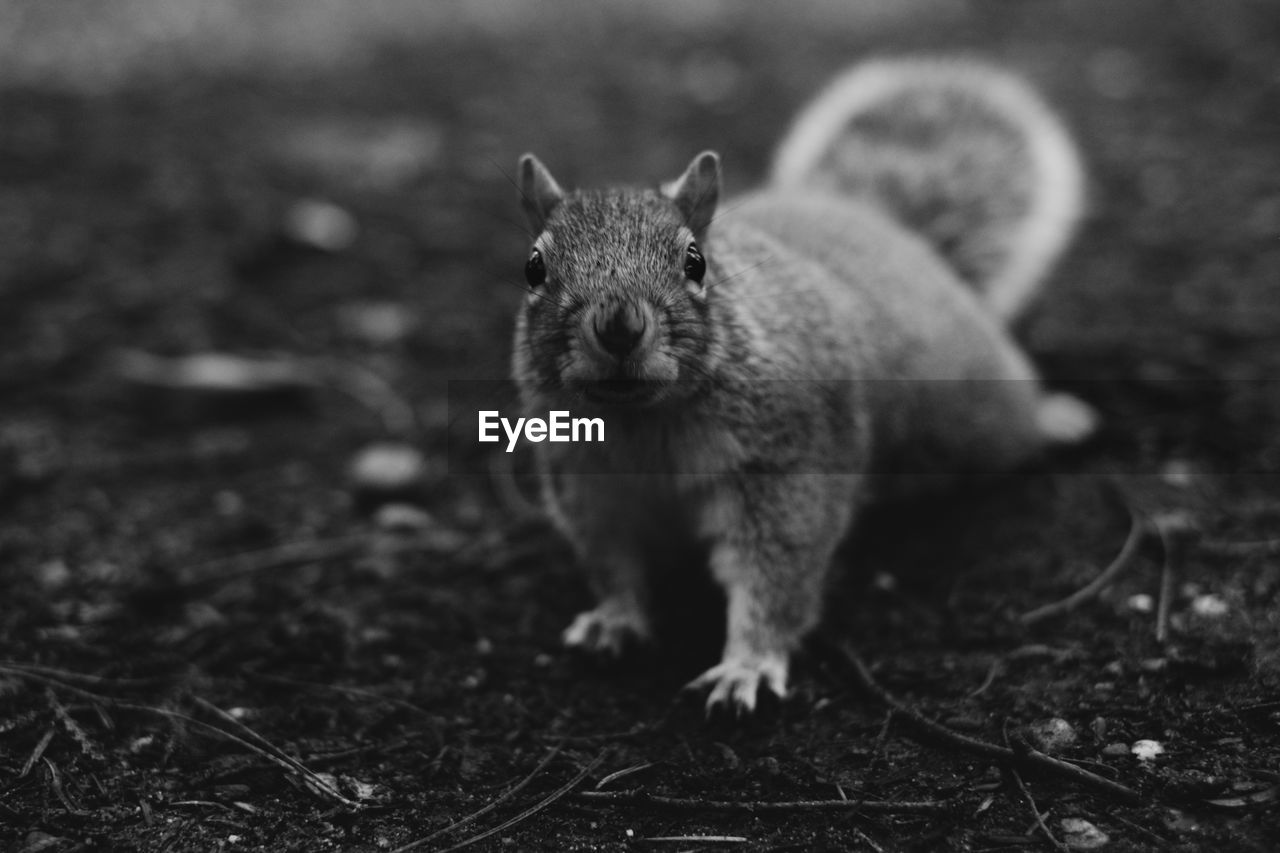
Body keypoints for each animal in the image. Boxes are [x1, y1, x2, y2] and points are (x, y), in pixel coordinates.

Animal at [509, 56, 1100, 712]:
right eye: (534, 267)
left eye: (695, 261)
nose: (619, 326)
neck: (644, 422)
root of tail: (886, 231)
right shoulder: (588, 482)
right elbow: (611, 560)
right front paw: (614, 619)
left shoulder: (789, 462)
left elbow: (777, 571)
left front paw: (747, 665)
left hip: (978, 406)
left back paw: (1056, 418)